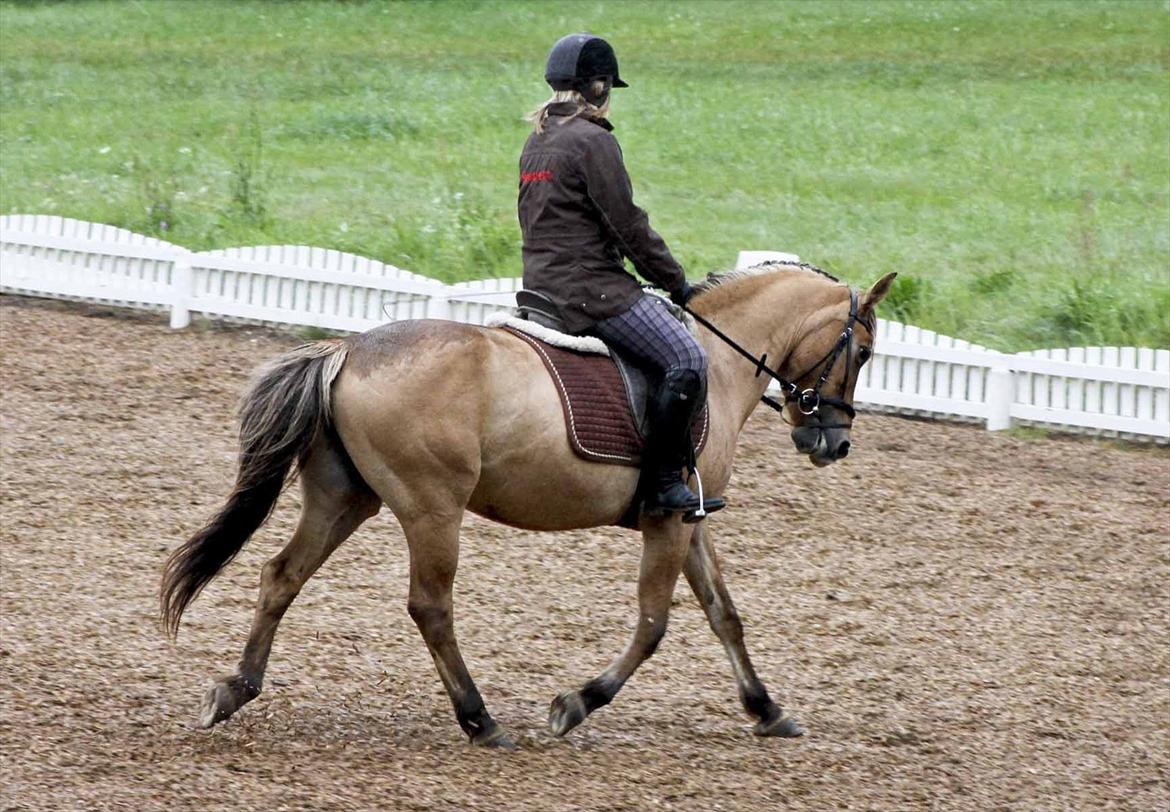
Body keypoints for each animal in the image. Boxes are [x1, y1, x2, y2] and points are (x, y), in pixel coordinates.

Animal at [160, 262, 893, 748]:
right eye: (861, 351)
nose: (833, 442)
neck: (719, 362)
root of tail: (347, 348)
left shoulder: (690, 519)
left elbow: (725, 616)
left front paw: (767, 709)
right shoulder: (669, 520)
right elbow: (654, 625)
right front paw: (577, 703)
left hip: (345, 499)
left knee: (281, 576)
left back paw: (235, 689)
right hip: (432, 508)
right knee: (430, 606)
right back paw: (478, 718)